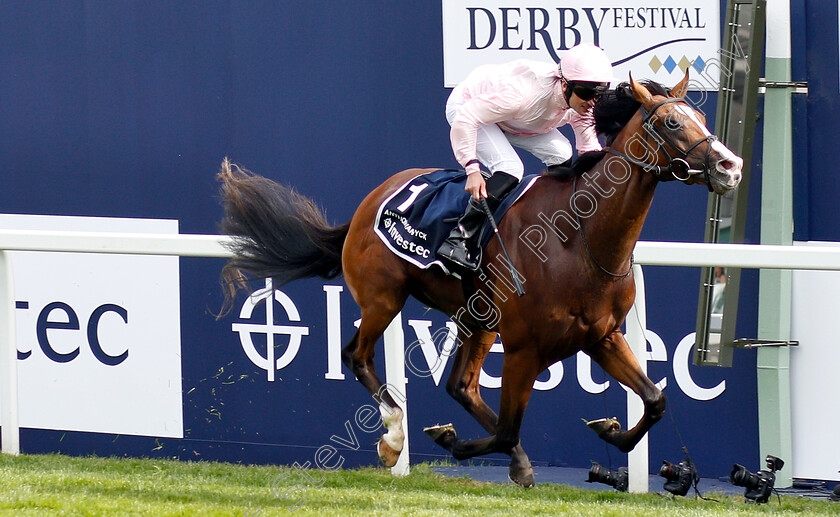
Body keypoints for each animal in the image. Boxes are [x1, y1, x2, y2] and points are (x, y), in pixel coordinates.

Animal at [217, 73, 740, 488]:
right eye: (672, 123)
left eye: (699, 115)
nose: (730, 166)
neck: (580, 239)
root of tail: (373, 199)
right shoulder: (527, 347)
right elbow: (508, 427)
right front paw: (452, 442)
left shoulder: (602, 336)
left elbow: (655, 400)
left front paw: (610, 431)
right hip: (384, 298)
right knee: (358, 356)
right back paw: (395, 436)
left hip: (479, 320)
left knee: (461, 386)